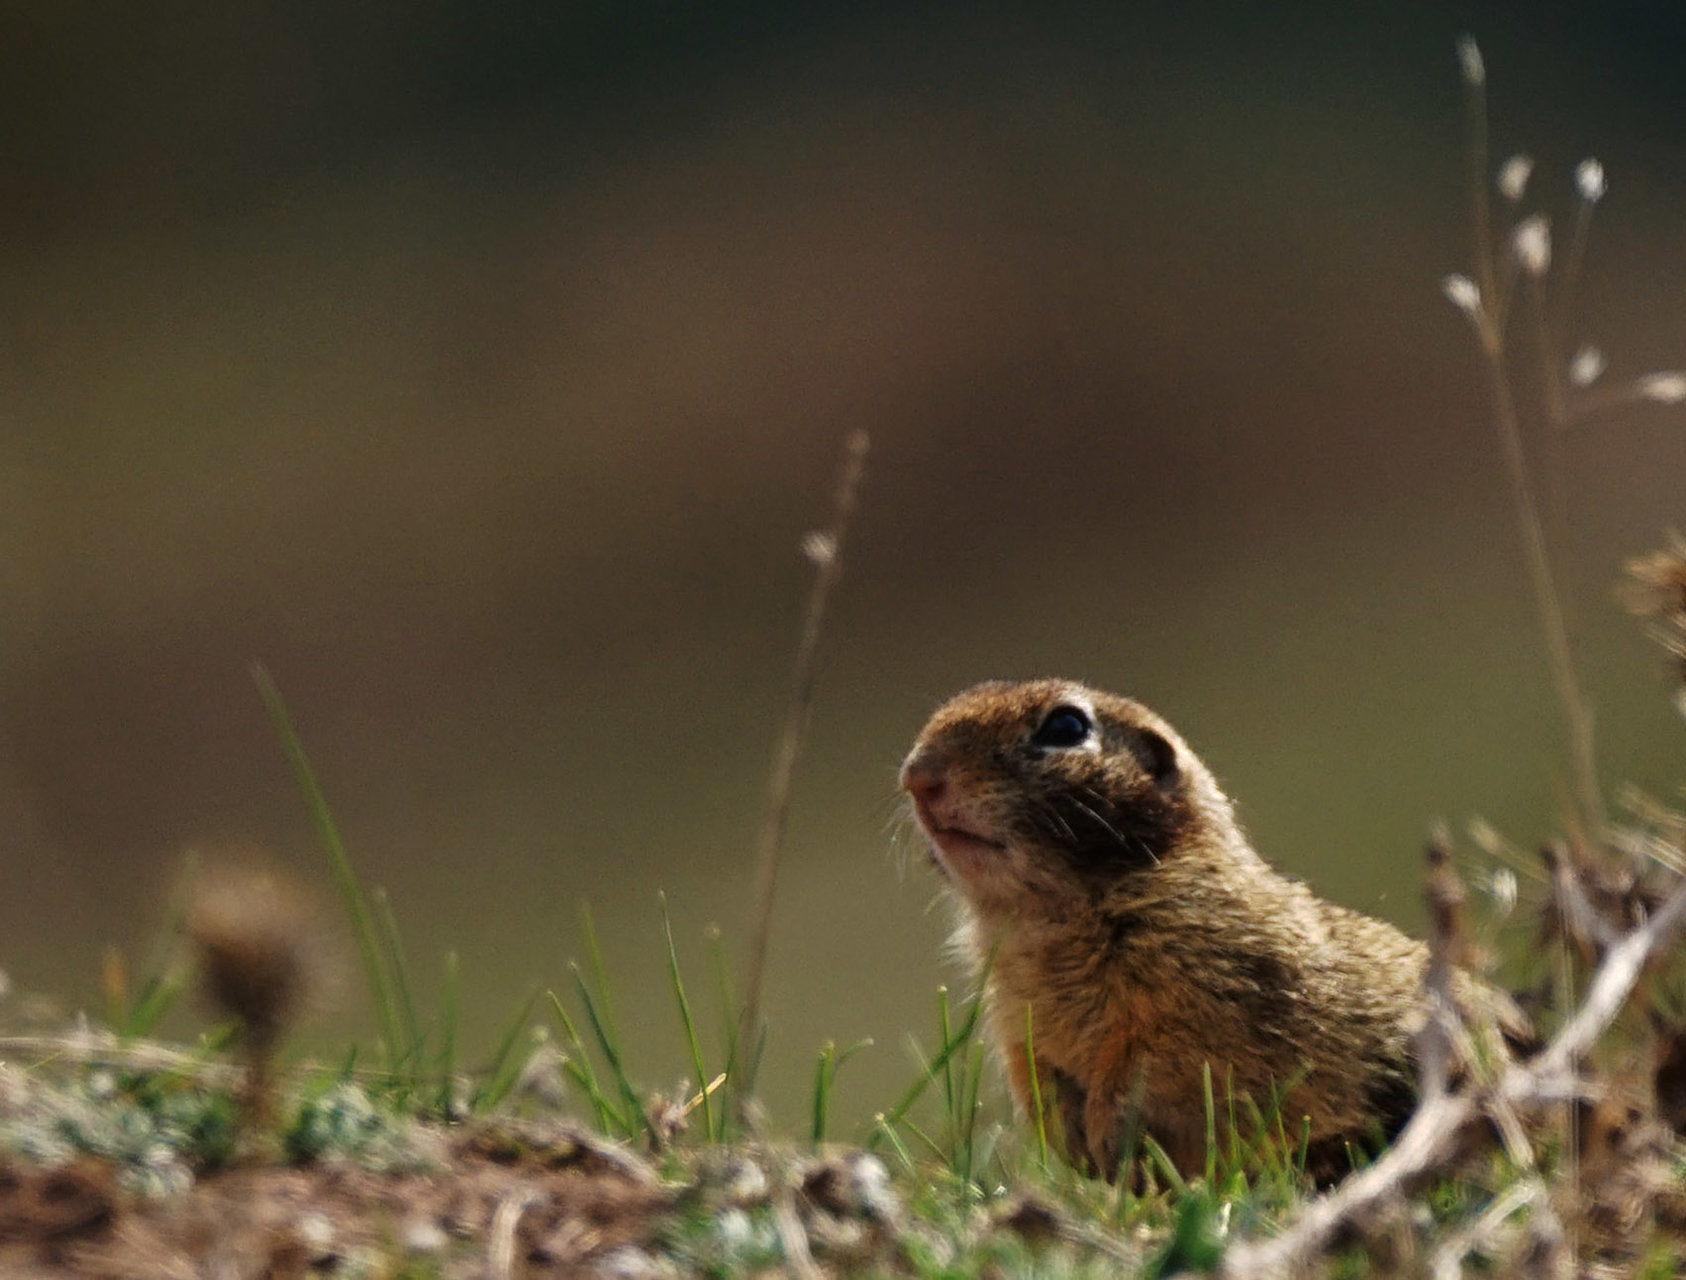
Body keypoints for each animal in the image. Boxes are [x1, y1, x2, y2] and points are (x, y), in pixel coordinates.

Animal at [899, 678, 1526, 1182]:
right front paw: (1082, 1157)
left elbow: (1145, 1067)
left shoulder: (1196, 995)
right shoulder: (1018, 1027)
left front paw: (1105, 1136)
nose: (917, 776)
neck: (1049, 912)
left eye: (1067, 726)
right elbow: (1039, 1082)